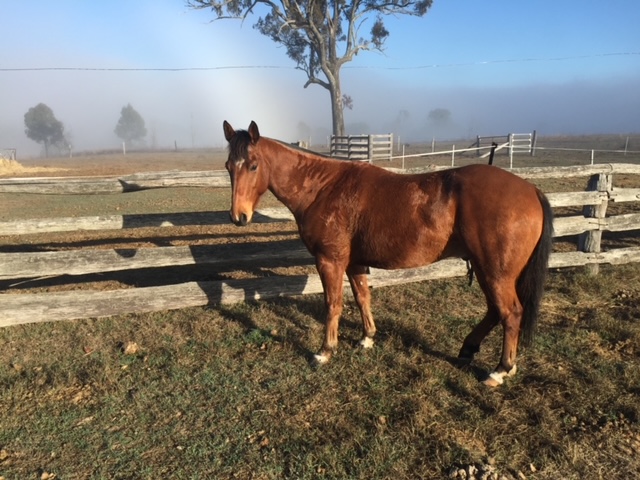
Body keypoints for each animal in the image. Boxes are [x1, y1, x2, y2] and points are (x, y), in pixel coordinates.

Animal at [222, 120, 554, 387]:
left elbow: (333, 304)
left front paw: (325, 351)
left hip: (495, 271)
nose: (239, 217)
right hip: (487, 269)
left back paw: (500, 370)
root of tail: (531, 190)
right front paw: (367, 337)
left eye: (253, 165)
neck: (323, 187)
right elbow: (362, 298)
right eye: (228, 166)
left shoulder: (330, 261)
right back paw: (471, 350)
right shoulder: (355, 263)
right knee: (496, 311)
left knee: (511, 313)